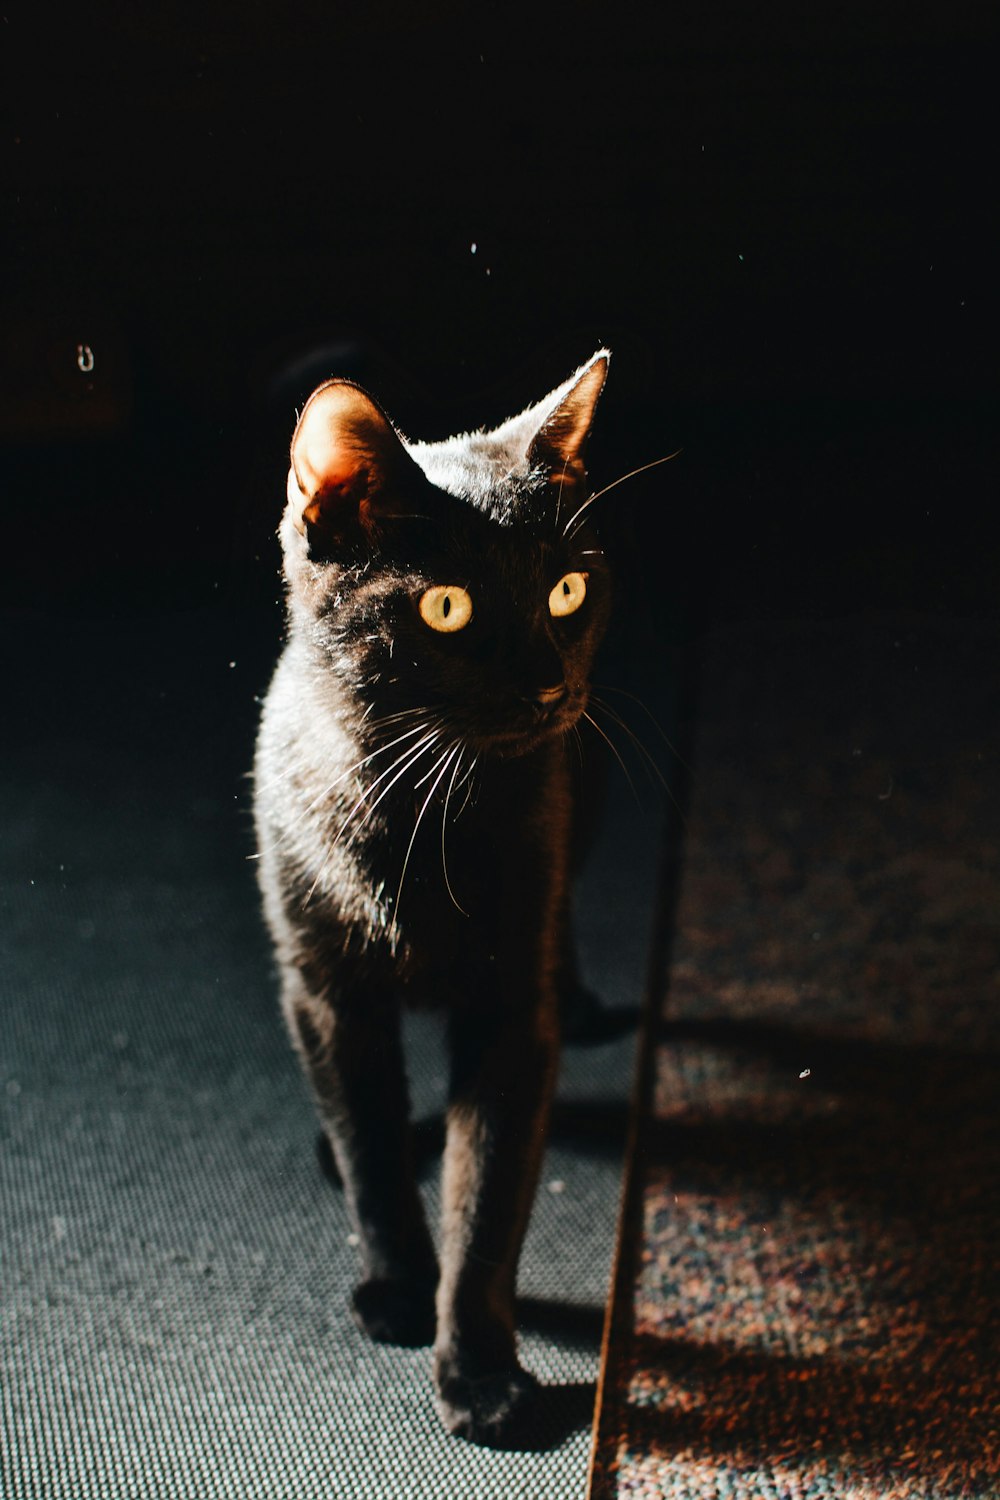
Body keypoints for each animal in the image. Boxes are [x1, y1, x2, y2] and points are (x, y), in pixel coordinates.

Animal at [254, 348, 614, 1440]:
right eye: (446, 607)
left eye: (568, 590)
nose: (547, 685)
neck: (419, 810)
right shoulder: (324, 992)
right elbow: (373, 1153)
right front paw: (398, 1288)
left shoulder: (507, 1013)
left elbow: (488, 1199)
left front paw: (482, 1371)